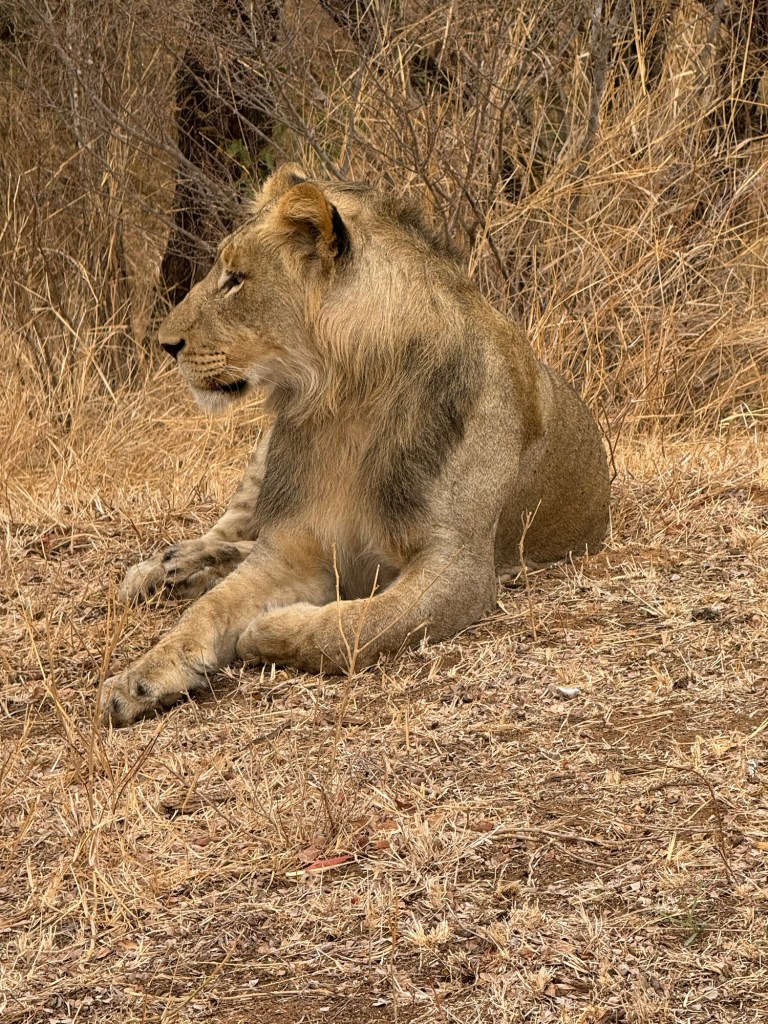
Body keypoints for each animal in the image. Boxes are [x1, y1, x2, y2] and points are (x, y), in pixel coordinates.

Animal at [103, 164, 610, 726]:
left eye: (236, 279)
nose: (165, 345)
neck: (346, 400)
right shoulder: (293, 545)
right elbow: (209, 610)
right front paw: (141, 678)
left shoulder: (460, 564)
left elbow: (362, 625)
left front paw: (268, 630)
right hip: (263, 458)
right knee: (230, 530)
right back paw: (166, 569)